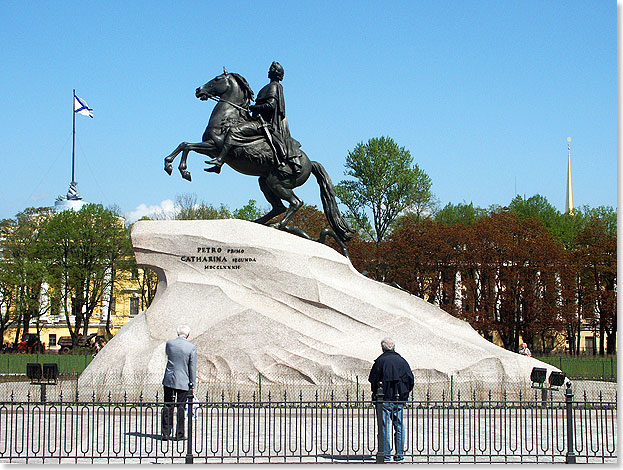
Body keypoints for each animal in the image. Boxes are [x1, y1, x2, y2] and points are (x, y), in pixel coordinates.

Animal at [162, 70, 356, 253]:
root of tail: (310, 162)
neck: (228, 116)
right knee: (279, 207)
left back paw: (277, 224)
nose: (198, 90)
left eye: (217, 79)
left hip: (277, 182)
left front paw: (185, 169)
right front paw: (172, 166)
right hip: (265, 181)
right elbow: (184, 144)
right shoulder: (208, 147)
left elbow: (190, 145)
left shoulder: (214, 146)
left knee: (295, 202)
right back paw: (257, 221)